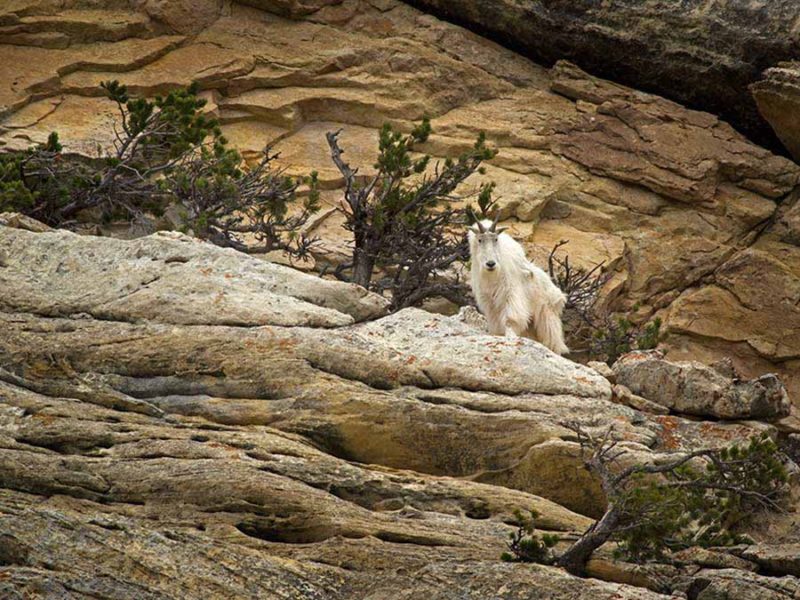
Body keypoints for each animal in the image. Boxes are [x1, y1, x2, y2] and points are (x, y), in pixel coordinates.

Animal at [468, 217, 568, 354]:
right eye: (479, 240)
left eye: (496, 239)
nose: (490, 264)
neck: (492, 275)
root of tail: (559, 296)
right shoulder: (489, 301)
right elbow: (495, 322)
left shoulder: (511, 293)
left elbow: (510, 318)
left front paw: (510, 336)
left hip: (547, 313)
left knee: (552, 337)